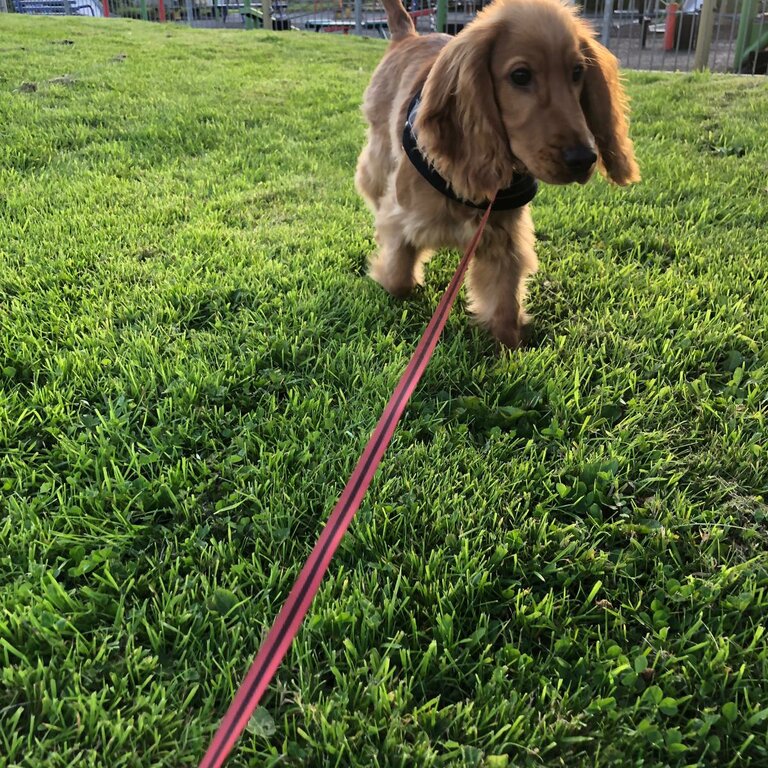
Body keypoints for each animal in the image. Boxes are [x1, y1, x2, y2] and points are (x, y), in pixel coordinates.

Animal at [356, 0, 640, 344]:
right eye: (520, 76)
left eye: (577, 72)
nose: (583, 158)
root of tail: (408, 35)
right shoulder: (402, 217)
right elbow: (399, 277)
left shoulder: (504, 238)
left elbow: (504, 302)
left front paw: (508, 344)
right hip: (379, 151)